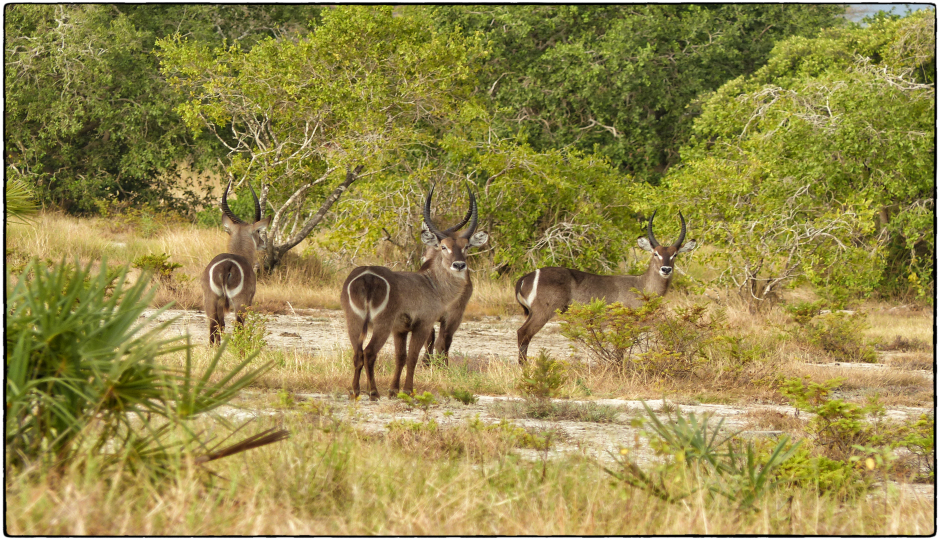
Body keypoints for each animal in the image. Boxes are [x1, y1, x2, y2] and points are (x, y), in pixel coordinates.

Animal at [201, 179, 270, 344]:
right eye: (258, 231)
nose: (264, 243)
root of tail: (227, 265)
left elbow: (220, 327)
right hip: (240, 303)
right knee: (238, 328)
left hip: (210, 300)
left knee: (213, 328)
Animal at [342, 188, 488, 398]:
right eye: (443, 246)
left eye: (466, 246)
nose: (459, 265)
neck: (431, 283)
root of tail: (367, 276)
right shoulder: (423, 325)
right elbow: (412, 357)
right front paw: (408, 390)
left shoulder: (400, 329)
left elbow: (400, 357)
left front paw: (394, 389)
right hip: (381, 323)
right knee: (369, 352)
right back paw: (374, 392)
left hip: (354, 320)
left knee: (357, 353)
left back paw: (355, 391)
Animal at [516, 211, 696, 362]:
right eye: (656, 253)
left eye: (674, 254)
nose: (666, 269)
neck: (641, 285)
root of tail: (526, 276)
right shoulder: (622, 321)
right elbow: (620, 348)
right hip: (543, 311)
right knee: (524, 333)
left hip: (533, 312)